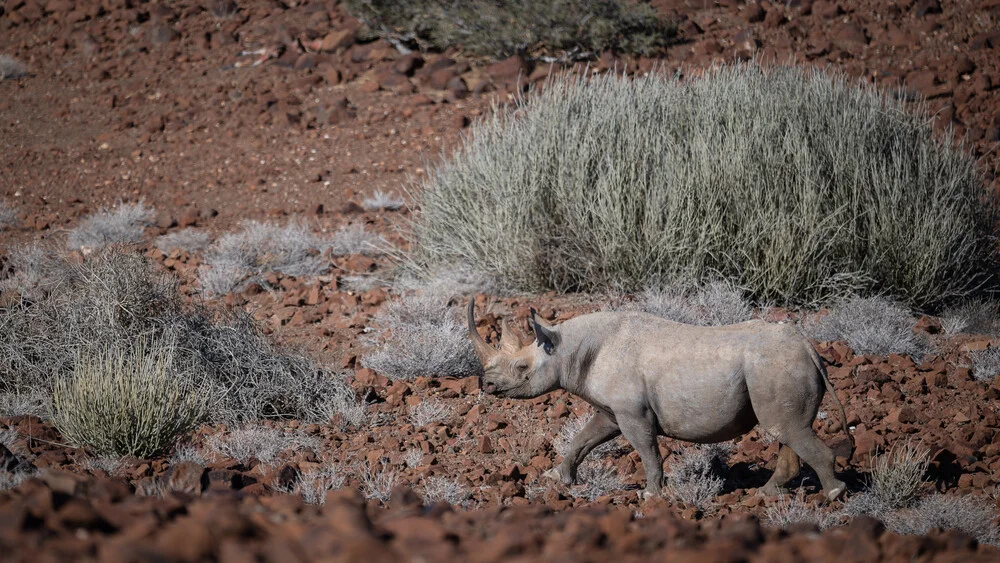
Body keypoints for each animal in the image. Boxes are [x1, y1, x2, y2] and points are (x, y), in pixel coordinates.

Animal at [466, 302, 852, 500]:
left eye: (521, 368)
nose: (487, 385)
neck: (565, 348)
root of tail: (808, 347)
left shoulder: (633, 413)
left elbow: (647, 451)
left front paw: (651, 495)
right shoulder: (612, 411)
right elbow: (584, 439)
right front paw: (560, 478)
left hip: (775, 366)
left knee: (786, 429)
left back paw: (833, 496)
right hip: (777, 367)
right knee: (787, 430)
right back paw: (765, 495)